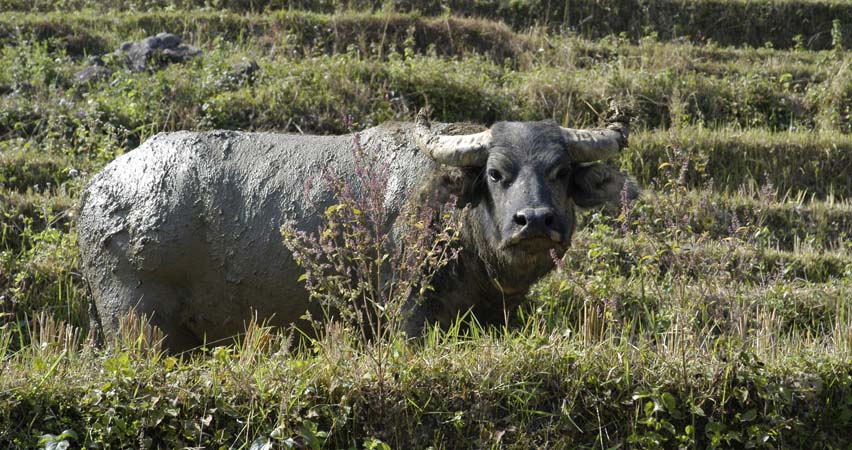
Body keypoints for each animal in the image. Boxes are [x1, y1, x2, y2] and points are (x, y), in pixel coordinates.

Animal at [80, 109, 636, 352]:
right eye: (496, 173)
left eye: (560, 171)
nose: (535, 221)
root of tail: (98, 190)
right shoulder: (406, 309)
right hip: (135, 321)